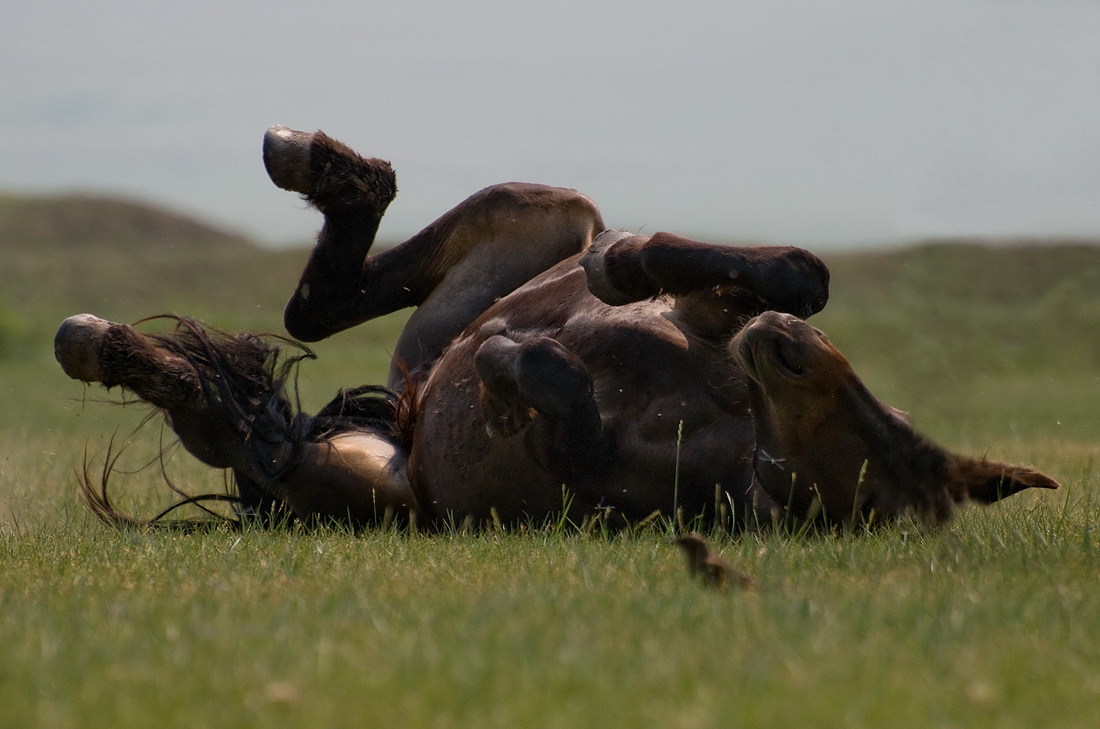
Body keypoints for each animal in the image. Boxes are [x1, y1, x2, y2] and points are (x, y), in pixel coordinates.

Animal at [51, 125, 1056, 529]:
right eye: (890, 421)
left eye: (886, 459)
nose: (789, 352)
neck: (729, 423)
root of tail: (407, 411)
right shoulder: (709, 313)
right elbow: (776, 270)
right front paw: (628, 264)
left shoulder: (600, 491)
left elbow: (563, 419)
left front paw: (525, 368)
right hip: (536, 217)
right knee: (317, 306)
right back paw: (324, 163)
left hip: (358, 480)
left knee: (248, 427)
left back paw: (98, 342)